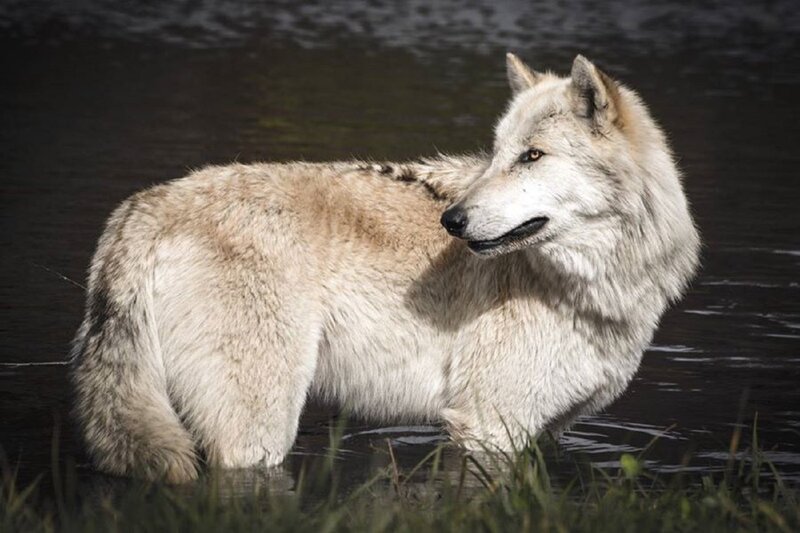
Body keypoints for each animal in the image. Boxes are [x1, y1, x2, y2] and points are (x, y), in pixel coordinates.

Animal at [71, 54, 700, 483]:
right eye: (498, 154)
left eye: (532, 156)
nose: (453, 220)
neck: (591, 286)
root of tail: (142, 209)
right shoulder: (488, 426)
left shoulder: (543, 430)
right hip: (257, 433)